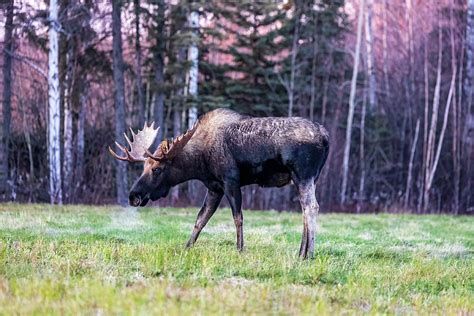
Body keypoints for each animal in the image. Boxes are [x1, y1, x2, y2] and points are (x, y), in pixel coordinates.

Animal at [109, 108, 330, 260]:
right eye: (143, 167)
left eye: (157, 169)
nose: (133, 196)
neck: (199, 162)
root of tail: (325, 136)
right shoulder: (214, 187)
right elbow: (201, 219)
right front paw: (186, 247)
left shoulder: (230, 181)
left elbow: (237, 217)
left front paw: (240, 249)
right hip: (311, 178)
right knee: (304, 210)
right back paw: (301, 252)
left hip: (303, 174)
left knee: (312, 207)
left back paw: (309, 254)